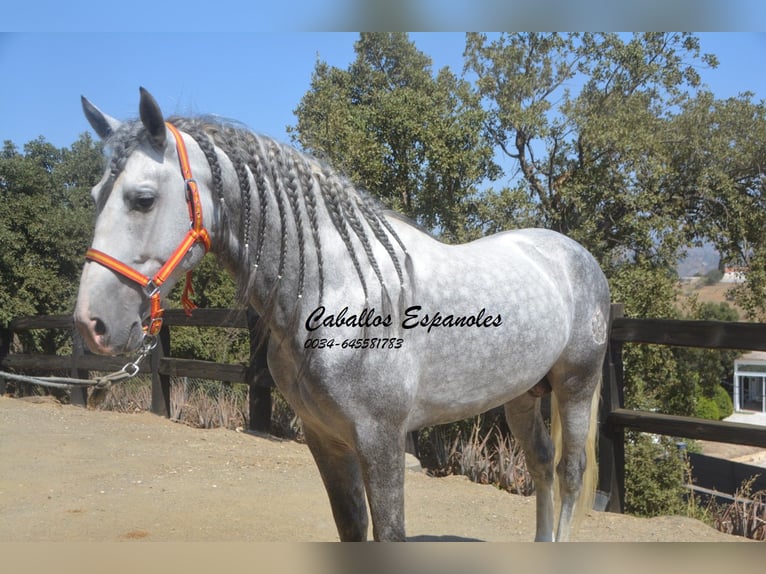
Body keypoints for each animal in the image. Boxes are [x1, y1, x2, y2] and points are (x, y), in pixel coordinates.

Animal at [73, 88, 612, 544]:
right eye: (96, 196)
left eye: (142, 199)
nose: (92, 324)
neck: (341, 290)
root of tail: (571, 254)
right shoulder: (325, 440)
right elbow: (352, 529)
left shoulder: (382, 440)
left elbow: (390, 534)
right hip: (522, 394)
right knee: (540, 465)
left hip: (576, 385)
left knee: (568, 474)